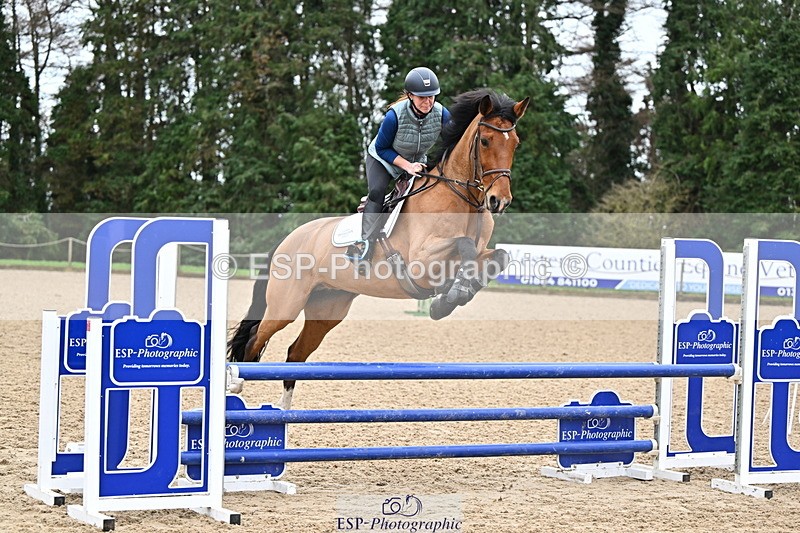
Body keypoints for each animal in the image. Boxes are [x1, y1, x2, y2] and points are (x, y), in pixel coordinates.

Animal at [228, 89, 529, 409]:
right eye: (485, 140)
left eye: (515, 143)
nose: (499, 201)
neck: (462, 199)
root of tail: (288, 240)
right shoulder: (421, 261)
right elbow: (464, 246)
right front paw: (448, 299)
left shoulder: (477, 253)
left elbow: (497, 256)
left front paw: (455, 295)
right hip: (285, 306)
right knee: (254, 340)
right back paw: (236, 388)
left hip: (327, 307)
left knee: (295, 354)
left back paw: (284, 413)